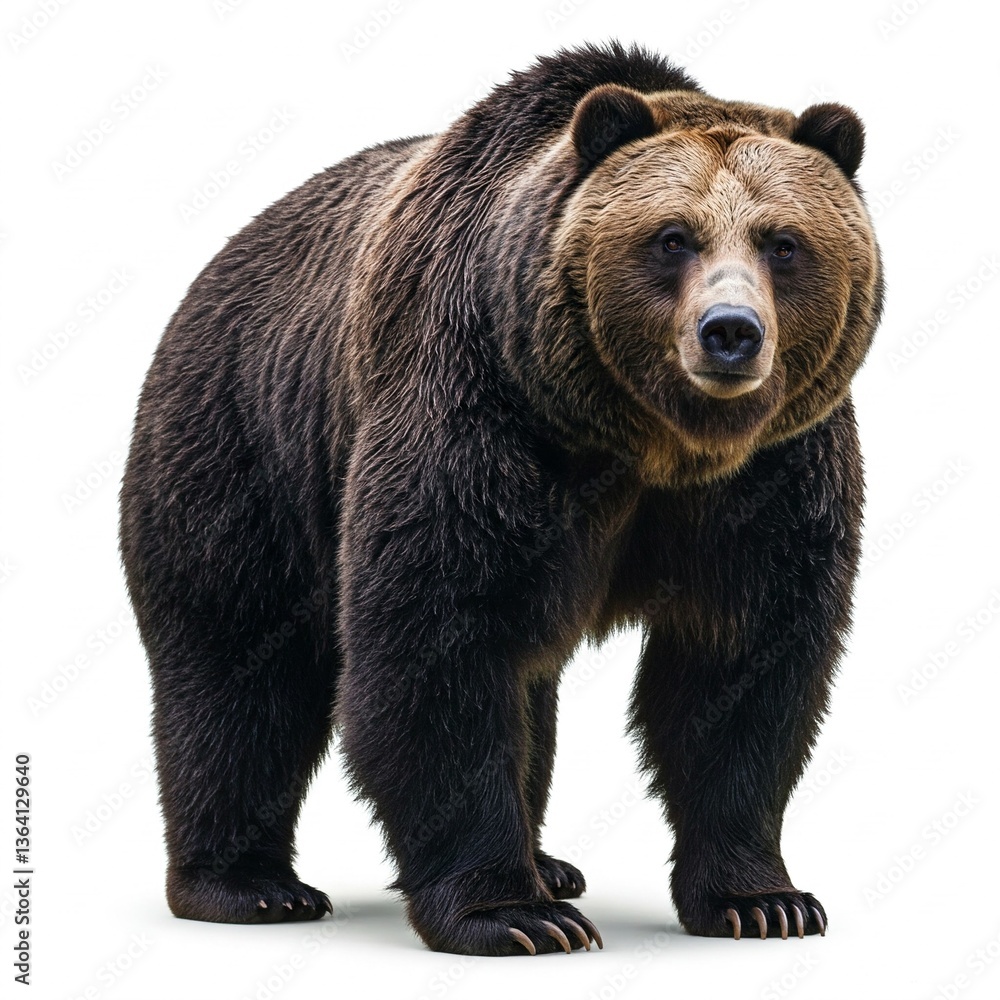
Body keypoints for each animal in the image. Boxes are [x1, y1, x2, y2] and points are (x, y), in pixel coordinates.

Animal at [119, 41, 882, 956]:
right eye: (673, 238)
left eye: (783, 242)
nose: (730, 332)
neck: (647, 438)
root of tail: (216, 262)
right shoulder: (479, 408)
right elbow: (439, 642)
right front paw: (512, 914)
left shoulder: (769, 475)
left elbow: (744, 661)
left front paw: (764, 901)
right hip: (243, 446)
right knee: (237, 665)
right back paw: (250, 885)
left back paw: (550, 861)